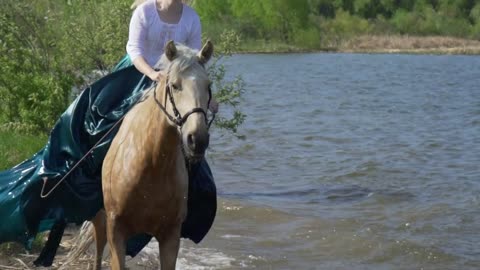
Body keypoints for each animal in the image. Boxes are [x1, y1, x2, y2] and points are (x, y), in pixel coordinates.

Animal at [91, 40, 214, 270]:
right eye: (175, 85)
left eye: (208, 86)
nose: (197, 140)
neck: (152, 164)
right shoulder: (116, 230)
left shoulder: (170, 235)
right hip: (99, 220)